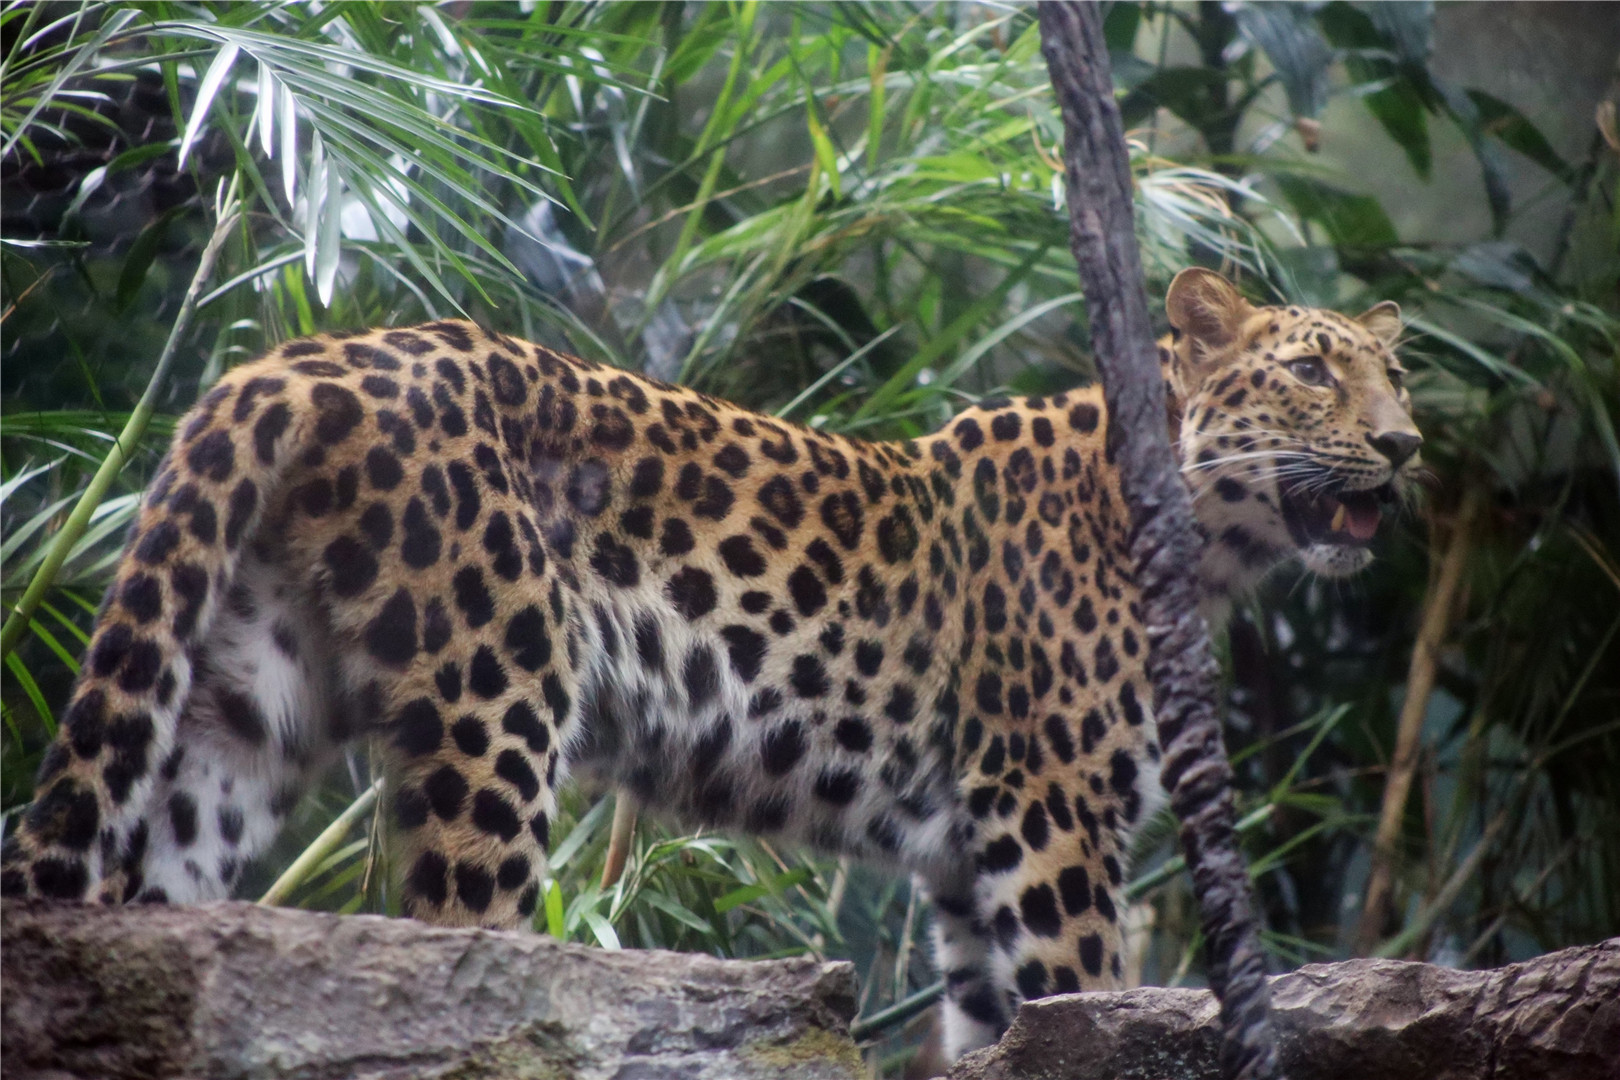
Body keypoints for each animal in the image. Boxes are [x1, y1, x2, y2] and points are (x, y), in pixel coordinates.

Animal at [2, 267, 1421, 1061]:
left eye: (1397, 378)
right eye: (1311, 371)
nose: (1407, 446)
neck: (1203, 539)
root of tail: (304, 359)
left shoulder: (967, 865)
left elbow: (997, 1033)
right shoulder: (1051, 822)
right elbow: (1085, 996)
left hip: (242, 707)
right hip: (490, 711)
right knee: (461, 944)